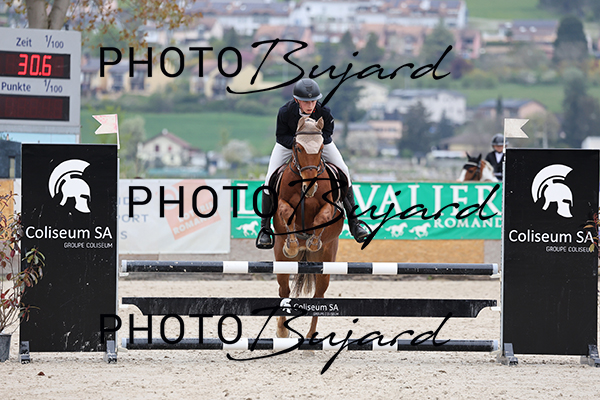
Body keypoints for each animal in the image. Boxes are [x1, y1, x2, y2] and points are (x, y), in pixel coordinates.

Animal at [271, 116, 344, 339]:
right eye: (298, 147)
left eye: (321, 147)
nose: (310, 187)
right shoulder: (282, 204)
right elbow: (287, 212)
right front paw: (293, 244)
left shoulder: (330, 206)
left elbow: (324, 215)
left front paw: (312, 241)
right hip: (281, 261)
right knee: (284, 291)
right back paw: (282, 330)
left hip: (327, 260)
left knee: (319, 296)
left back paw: (311, 338)